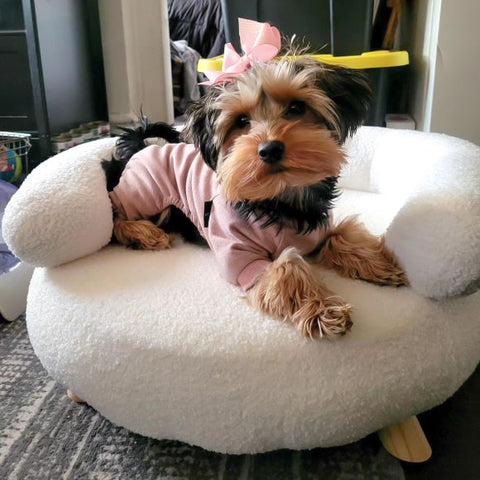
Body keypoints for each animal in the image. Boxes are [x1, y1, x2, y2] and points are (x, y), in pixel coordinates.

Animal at [103, 57, 406, 342]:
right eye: (241, 122)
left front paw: (380, 265)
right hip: (145, 191)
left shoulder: (318, 231)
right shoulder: (239, 255)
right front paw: (323, 310)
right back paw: (144, 234)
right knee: (116, 215)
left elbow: (342, 235)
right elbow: (287, 268)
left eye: (296, 108)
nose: (270, 149)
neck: (280, 198)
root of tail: (140, 148)